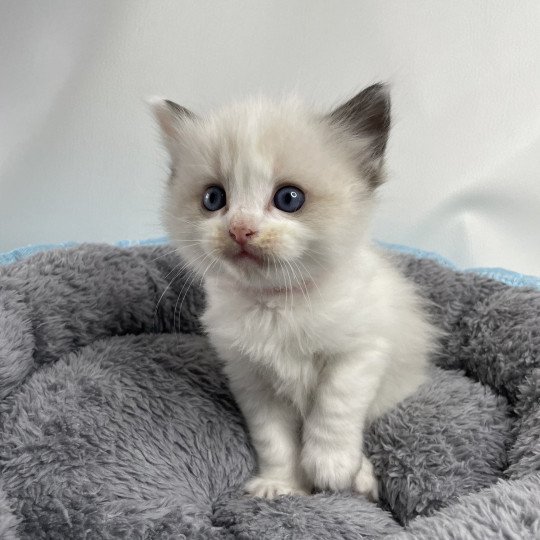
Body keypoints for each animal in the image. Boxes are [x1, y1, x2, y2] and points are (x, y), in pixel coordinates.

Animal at [151, 85, 438, 502]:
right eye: (213, 199)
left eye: (289, 199)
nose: (240, 229)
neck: (276, 305)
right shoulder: (253, 382)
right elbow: (274, 440)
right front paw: (282, 485)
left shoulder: (359, 352)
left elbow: (333, 408)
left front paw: (331, 468)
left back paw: (362, 478)